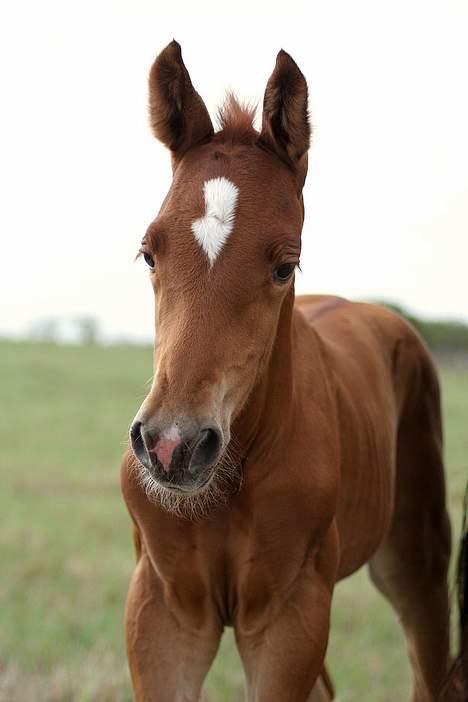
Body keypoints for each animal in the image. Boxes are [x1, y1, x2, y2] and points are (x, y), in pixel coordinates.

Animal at [121, 41, 460, 700]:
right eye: (148, 253)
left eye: (285, 265)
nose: (173, 445)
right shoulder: (164, 613)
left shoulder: (288, 617)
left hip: (418, 563)